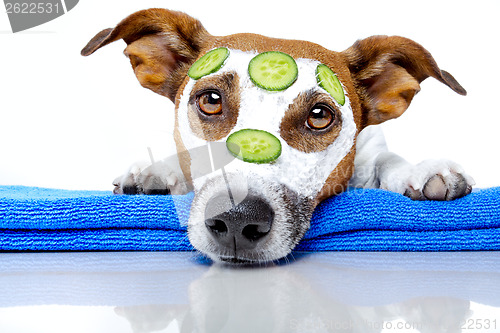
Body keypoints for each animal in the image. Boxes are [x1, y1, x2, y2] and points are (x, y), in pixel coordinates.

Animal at [81, 7, 472, 264]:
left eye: (319, 116)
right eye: (210, 100)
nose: (237, 219)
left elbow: (386, 160)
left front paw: (418, 171)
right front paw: (158, 171)